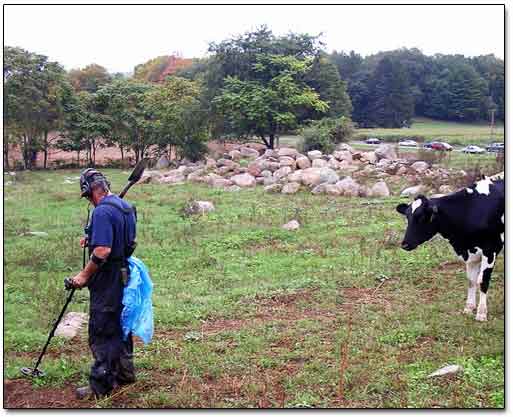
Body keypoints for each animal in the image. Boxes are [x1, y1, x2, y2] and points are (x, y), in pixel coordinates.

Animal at [396, 176, 504, 322]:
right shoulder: (471, 252)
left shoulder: (491, 249)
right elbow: (471, 280)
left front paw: (481, 313)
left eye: (422, 217)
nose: (405, 244)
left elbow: (482, 280)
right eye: (407, 217)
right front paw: (469, 308)